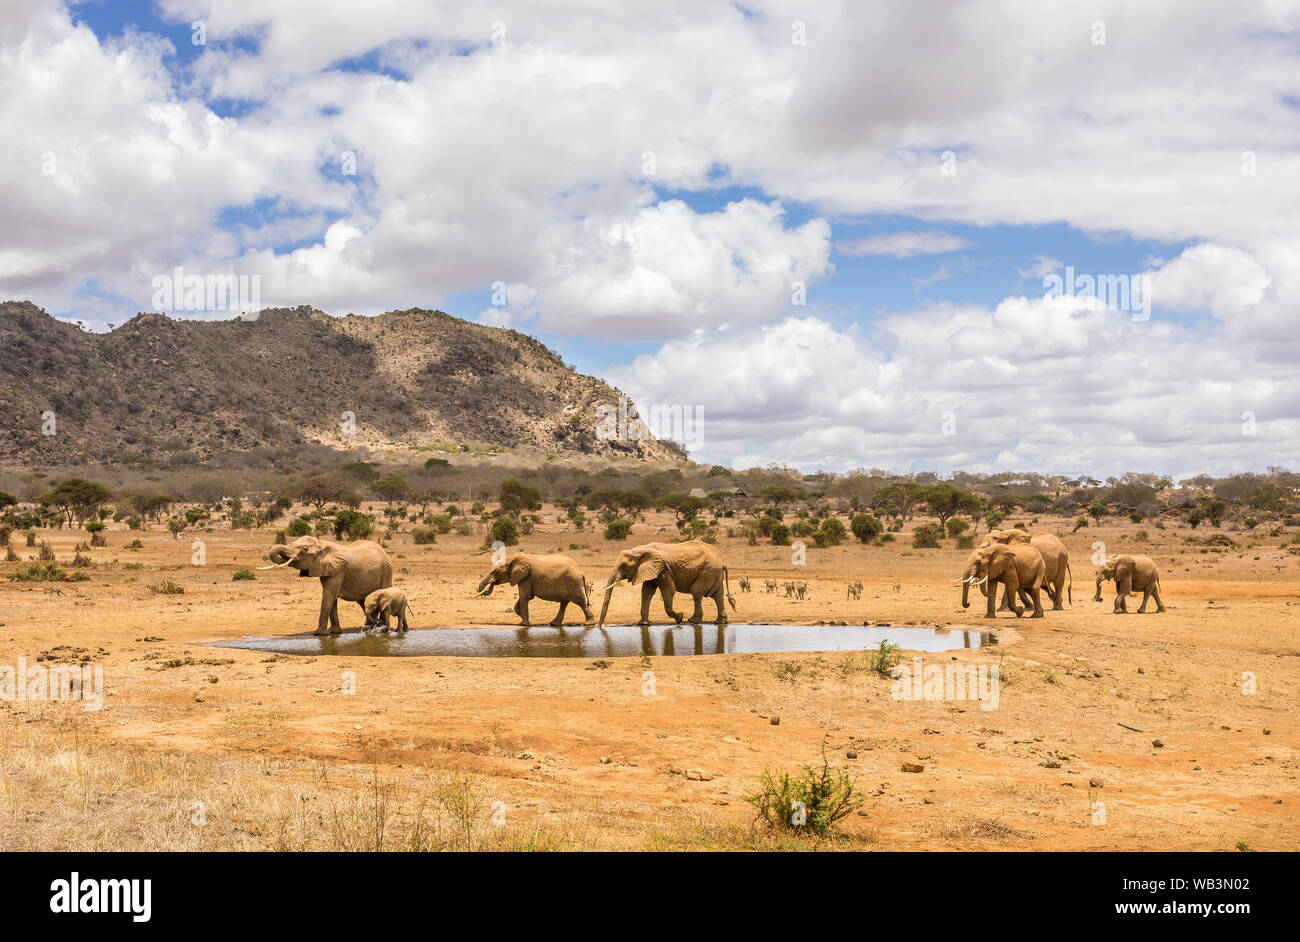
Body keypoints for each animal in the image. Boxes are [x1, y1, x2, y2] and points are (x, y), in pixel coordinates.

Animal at [262, 537, 393, 634]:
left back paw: (382, 627)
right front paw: (334, 632)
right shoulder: (327, 570)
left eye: (304, 549)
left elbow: (329, 595)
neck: (321, 544)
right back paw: (373, 624)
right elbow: (331, 598)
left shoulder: (338, 571)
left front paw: (319, 634)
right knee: (363, 600)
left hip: (386, 570)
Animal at [596, 540, 735, 629]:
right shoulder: (652, 570)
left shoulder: (663, 569)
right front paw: (643, 624)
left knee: (696, 592)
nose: (599, 627)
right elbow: (646, 592)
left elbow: (669, 590)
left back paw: (693, 621)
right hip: (713, 572)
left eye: (624, 566)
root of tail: (722, 560)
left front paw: (679, 618)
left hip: (707, 571)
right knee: (717, 595)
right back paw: (720, 622)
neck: (639, 550)